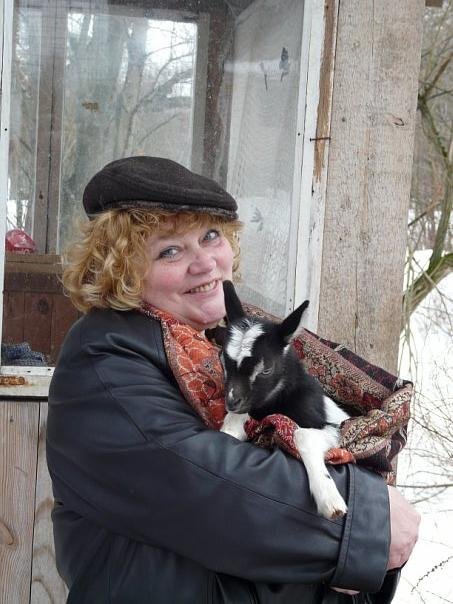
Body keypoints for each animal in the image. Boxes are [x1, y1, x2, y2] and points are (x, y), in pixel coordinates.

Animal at [219, 280, 349, 519]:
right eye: (222, 359)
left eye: (266, 369)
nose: (231, 402)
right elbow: (233, 425)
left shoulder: (331, 427)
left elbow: (301, 435)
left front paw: (330, 500)